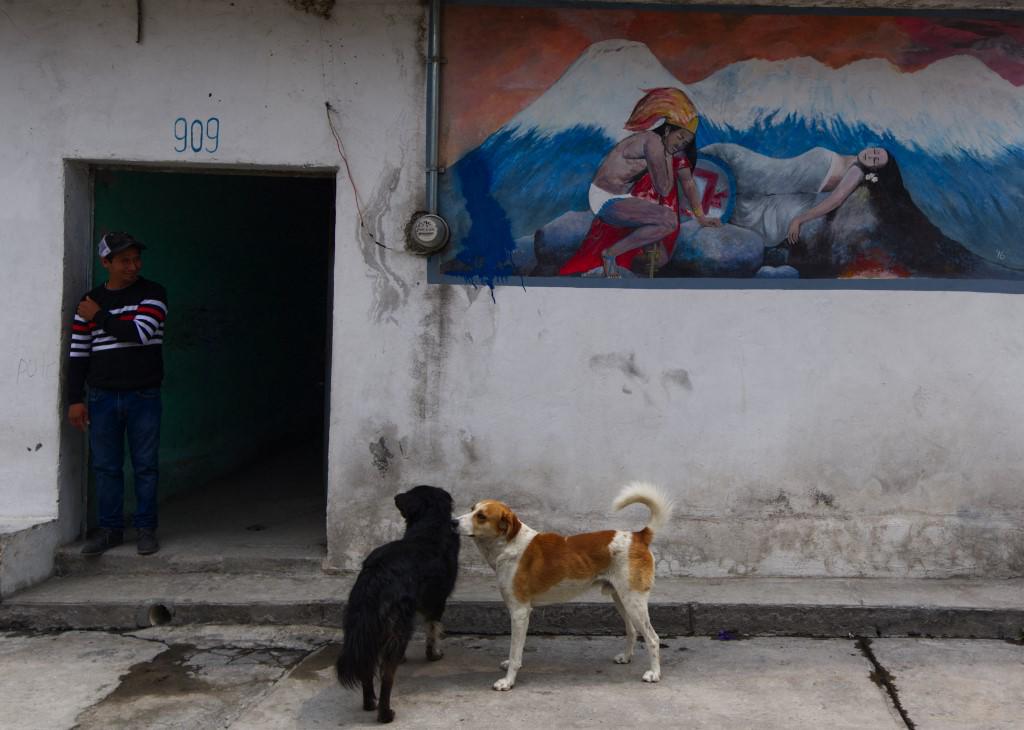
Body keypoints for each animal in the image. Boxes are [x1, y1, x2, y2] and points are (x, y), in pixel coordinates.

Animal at [333, 483, 458, 724]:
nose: (396, 497)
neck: (429, 522)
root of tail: (377, 575)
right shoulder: (437, 602)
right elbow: (433, 631)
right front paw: (434, 655)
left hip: (362, 622)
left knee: (367, 666)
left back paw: (369, 703)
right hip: (398, 624)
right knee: (386, 675)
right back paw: (385, 714)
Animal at [458, 481, 671, 692]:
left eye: (481, 516)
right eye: (472, 509)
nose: (453, 521)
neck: (509, 545)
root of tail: (639, 536)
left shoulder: (519, 612)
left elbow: (515, 653)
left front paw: (508, 681)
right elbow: (515, 651)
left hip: (634, 601)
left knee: (653, 638)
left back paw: (654, 673)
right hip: (621, 598)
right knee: (632, 631)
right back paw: (626, 658)